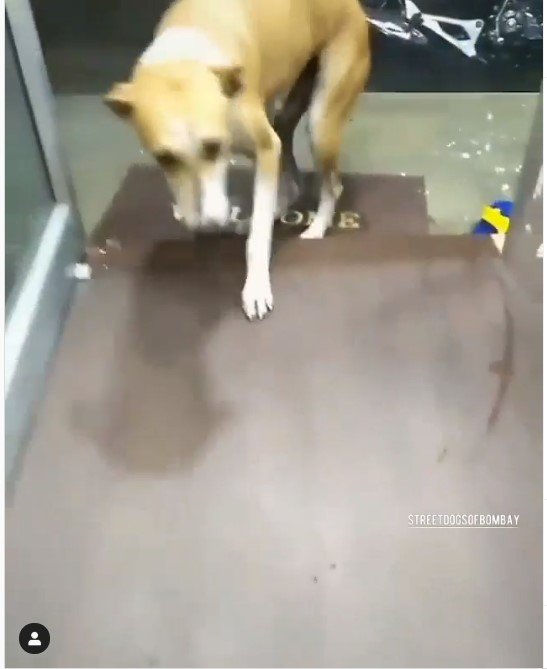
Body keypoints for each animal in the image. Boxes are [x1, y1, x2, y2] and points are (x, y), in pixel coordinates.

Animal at [106, 0, 372, 318]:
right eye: (164, 158)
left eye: (214, 146)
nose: (208, 224)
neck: (183, 54)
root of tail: (356, 8)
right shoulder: (266, 147)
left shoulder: (266, 146)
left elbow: (258, 239)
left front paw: (256, 288)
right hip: (285, 115)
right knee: (291, 179)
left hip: (320, 123)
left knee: (332, 185)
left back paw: (316, 229)